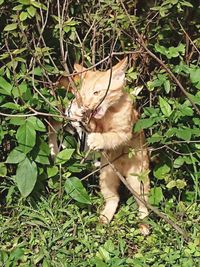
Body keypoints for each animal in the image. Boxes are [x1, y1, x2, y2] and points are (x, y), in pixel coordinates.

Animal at [49, 58, 150, 234]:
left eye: (97, 92)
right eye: (83, 95)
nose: (87, 104)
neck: (110, 113)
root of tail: (122, 172)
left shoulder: (125, 132)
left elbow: (112, 136)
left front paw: (98, 140)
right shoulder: (93, 125)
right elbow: (91, 125)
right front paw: (76, 112)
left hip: (138, 178)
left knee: (143, 203)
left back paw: (144, 225)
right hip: (106, 175)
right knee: (114, 198)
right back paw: (104, 219)